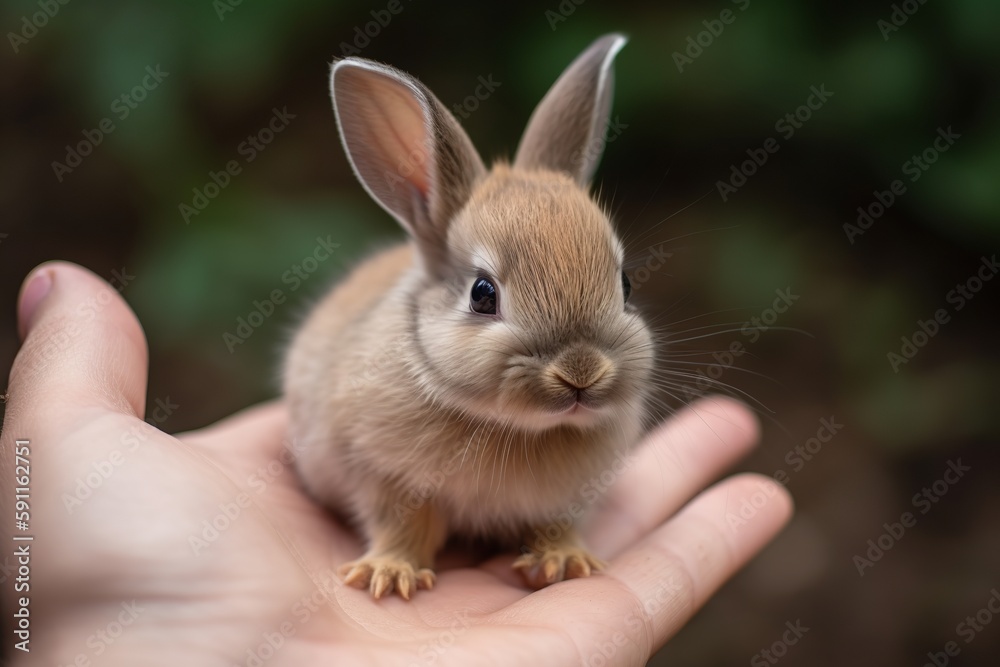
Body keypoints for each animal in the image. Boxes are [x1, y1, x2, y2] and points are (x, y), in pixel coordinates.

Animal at [284, 33, 654, 600]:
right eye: (483, 294)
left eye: (626, 284)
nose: (581, 373)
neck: (520, 429)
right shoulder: (384, 476)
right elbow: (399, 528)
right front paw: (389, 574)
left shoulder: (565, 500)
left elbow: (557, 525)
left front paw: (565, 561)